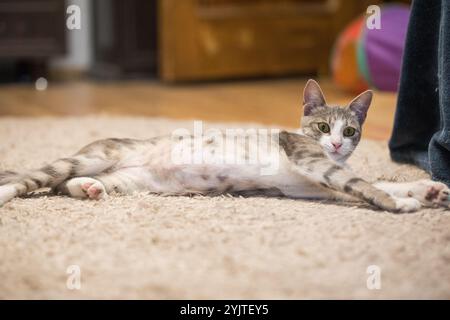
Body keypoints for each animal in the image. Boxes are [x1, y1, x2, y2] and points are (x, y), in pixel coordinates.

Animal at [0, 79, 450, 212]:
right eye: (323, 126)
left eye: (352, 131)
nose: (338, 143)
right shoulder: (310, 161)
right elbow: (362, 184)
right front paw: (402, 204)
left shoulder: (313, 184)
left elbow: (370, 180)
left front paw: (428, 189)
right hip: (93, 156)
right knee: (36, 177)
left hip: (126, 181)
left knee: (68, 184)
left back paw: (90, 189)